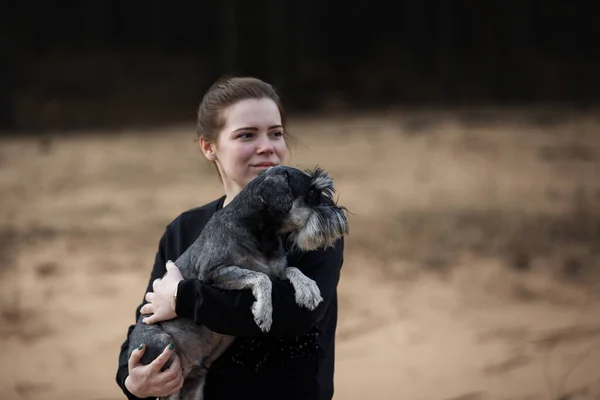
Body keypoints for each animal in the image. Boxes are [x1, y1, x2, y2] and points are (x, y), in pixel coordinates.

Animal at [129, 165, 350, 400]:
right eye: (312, 192)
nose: (342, 218)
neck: (260, 232)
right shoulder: (214, 272)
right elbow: (261, 278)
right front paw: (264, 313)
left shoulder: (276, 270)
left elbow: (292, 269)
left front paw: (308, 289)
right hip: (164, 349)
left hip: (195, 385)